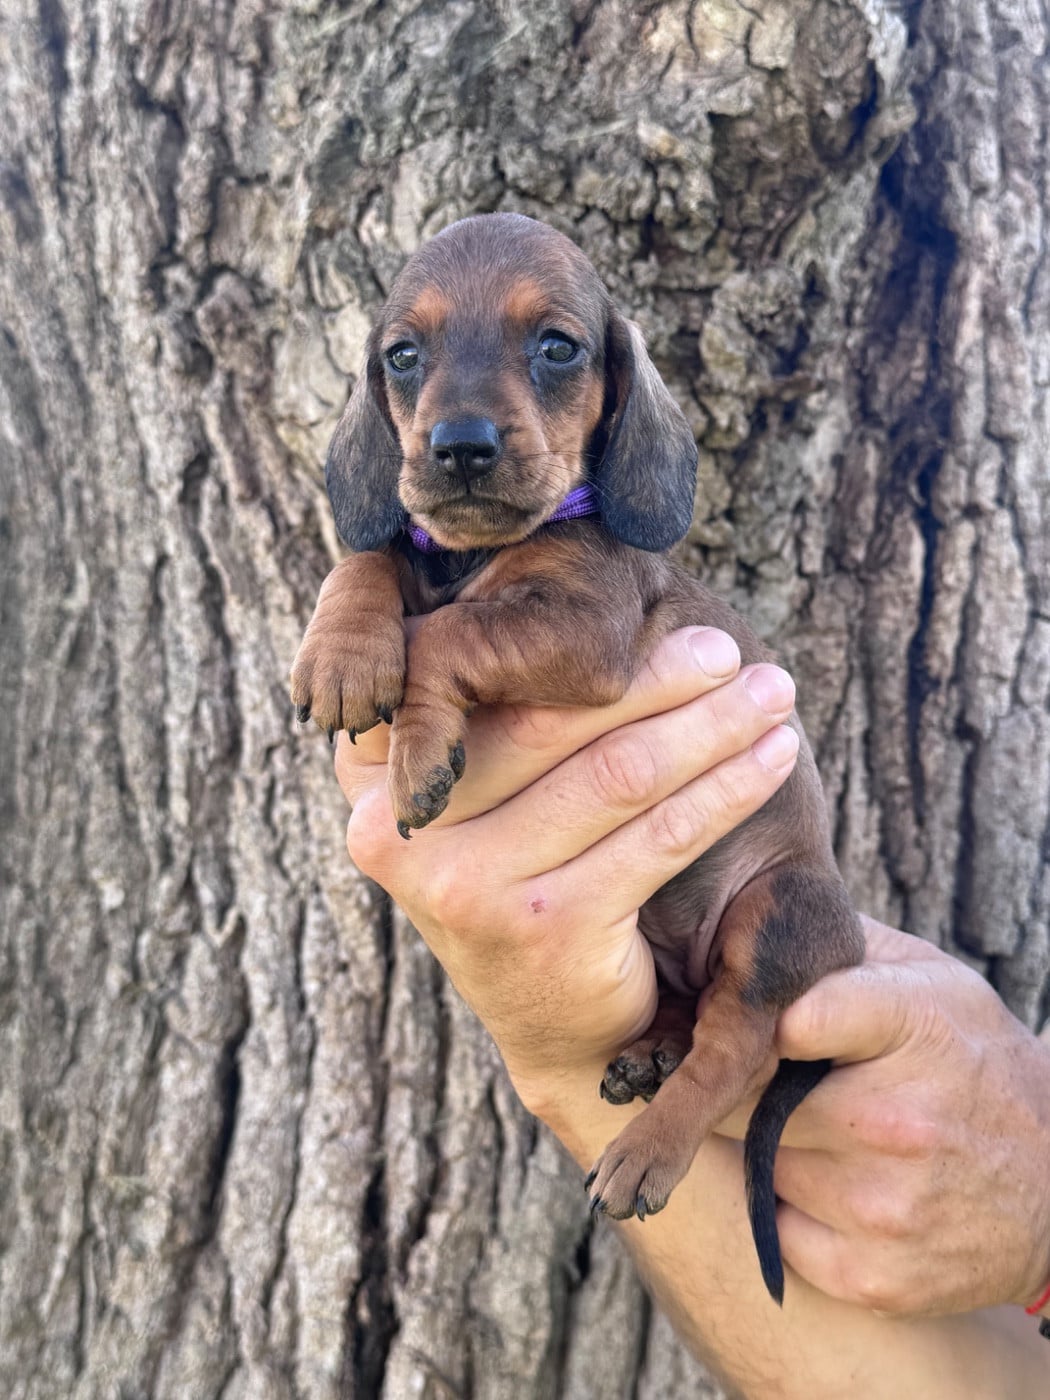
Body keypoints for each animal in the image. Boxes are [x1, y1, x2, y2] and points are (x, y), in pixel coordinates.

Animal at [291, 212, 864, 1303]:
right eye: (403, 354)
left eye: (556, 346)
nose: (460, 448)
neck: (479, 552)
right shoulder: (418, 551)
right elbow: (374, 555)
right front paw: (343, 649)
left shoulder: (587, 630)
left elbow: (451, 631)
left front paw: (421, 747)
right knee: (697, 1008)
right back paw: (652, 1053)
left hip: (777, 909)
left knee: (738, 1044)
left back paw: (650, 1144)